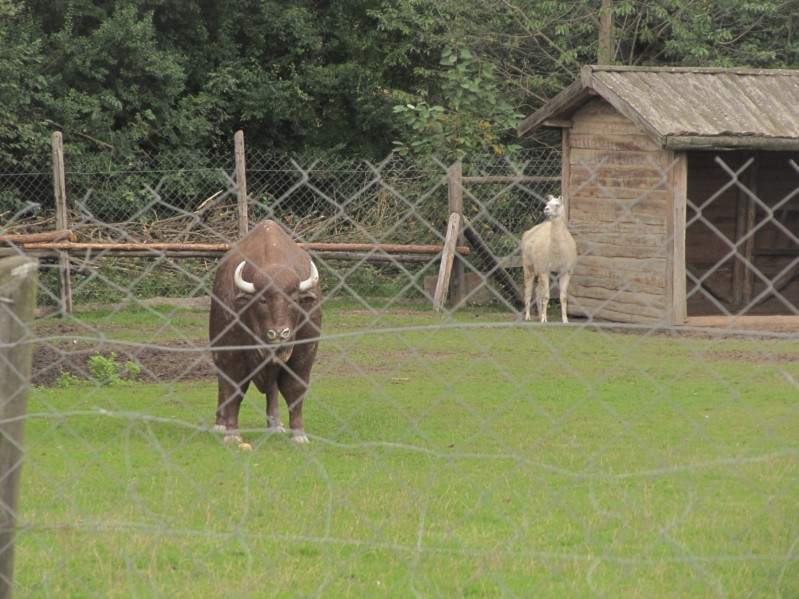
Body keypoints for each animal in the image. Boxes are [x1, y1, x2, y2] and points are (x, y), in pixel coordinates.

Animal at [209, 218, 322, 442]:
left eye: (294, 299)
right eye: (262, 300)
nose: (279, 334)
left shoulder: (304, 354)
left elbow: (295, 388)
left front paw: (298, 435)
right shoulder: (230, 353)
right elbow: (233, 388)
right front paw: (232, 434)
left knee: (272, 388)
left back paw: (275, 425)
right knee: (222, 384)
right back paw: (220, 424)